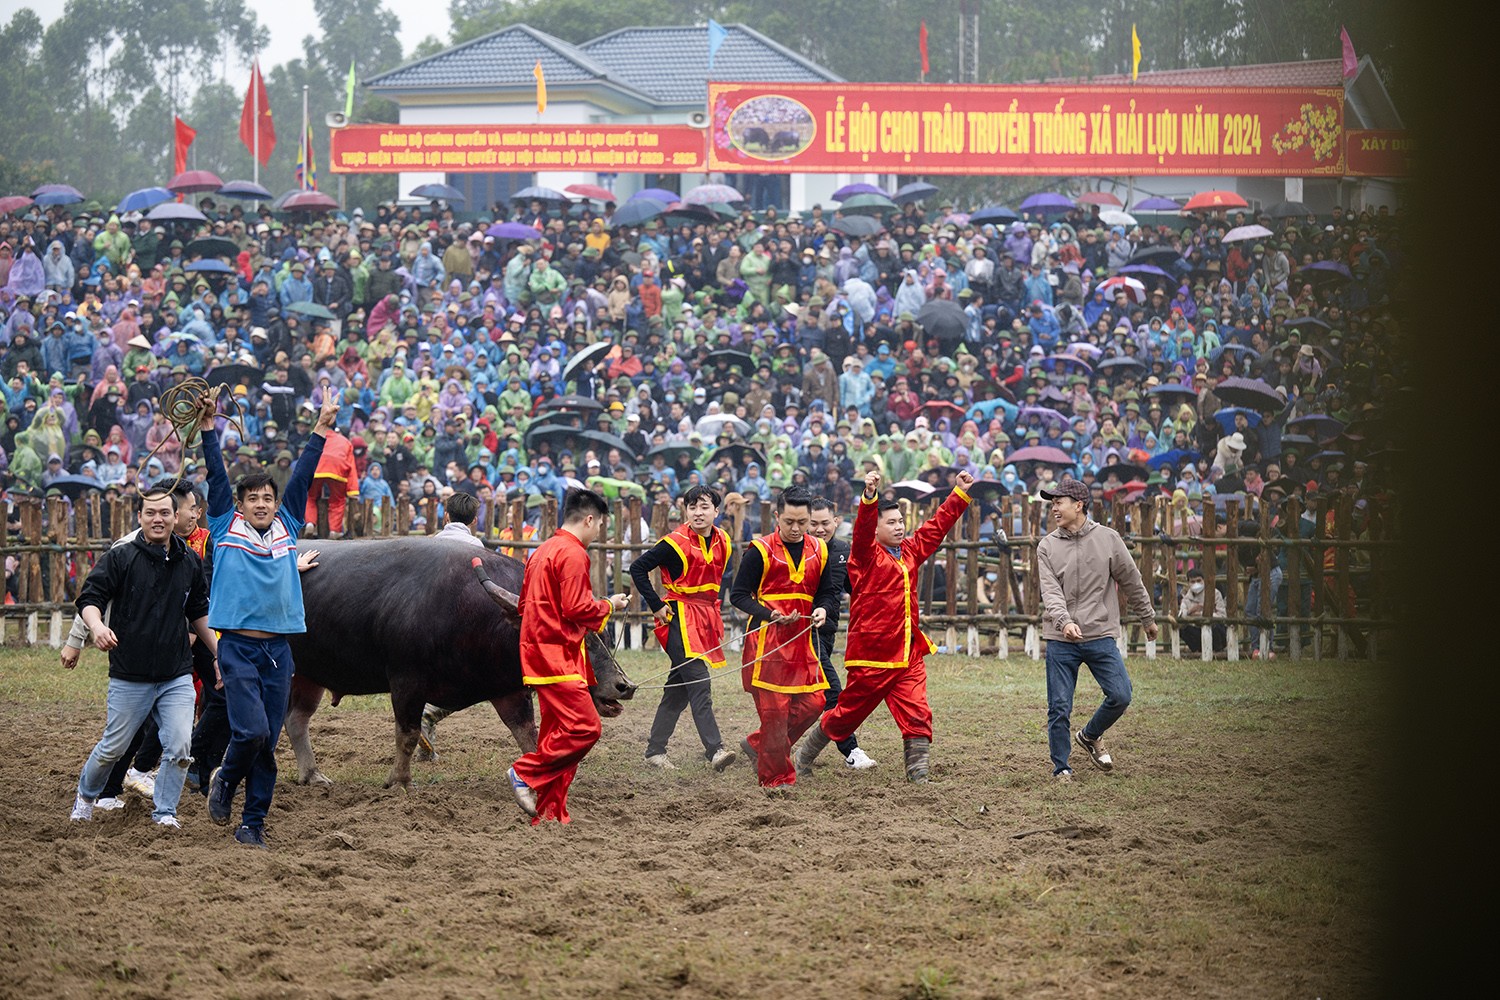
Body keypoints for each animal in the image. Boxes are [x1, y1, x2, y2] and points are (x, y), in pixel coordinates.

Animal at [283, 539, 636, 791]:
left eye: (604, 634)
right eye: (568, 640)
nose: (624, 686)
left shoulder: (507, 690)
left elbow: (528, 736)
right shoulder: (405, 681)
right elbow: (408, 734)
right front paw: (399, 781)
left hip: (308, 677)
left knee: (296, 720)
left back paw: (312, 775)